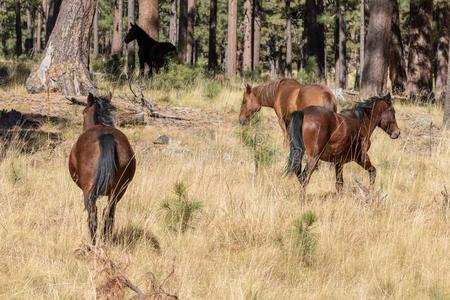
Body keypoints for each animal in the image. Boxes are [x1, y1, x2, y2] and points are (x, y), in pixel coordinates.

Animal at [68, 93, 135, 244]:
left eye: (84, 111)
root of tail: (106, 136)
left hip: (89, 191)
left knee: (93, 215)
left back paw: (93, 244)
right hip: (118, 191)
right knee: (108, 214)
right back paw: (105, 241)